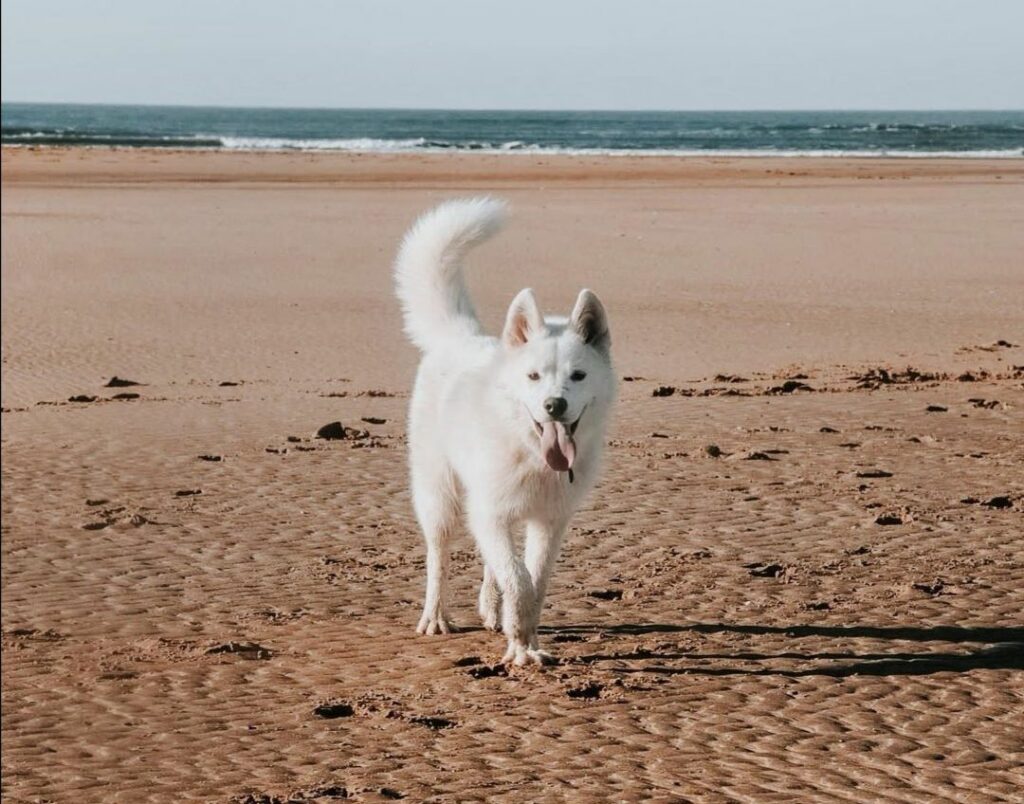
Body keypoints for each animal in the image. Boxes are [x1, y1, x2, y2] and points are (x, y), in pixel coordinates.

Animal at [393, 195, 614, 663]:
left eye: (578, 376)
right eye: (533, 376)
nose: (554, 405)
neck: (529, 450)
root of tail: (461, 337)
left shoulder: (549, 521)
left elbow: (534, 581)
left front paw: (525, 640)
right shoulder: (490, 511)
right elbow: (518, 579)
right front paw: (520, 647)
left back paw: (491, 611)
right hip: (440, 496)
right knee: (439, 556)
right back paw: (435, 617)